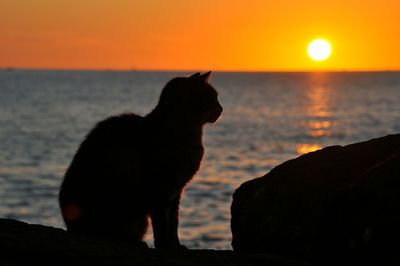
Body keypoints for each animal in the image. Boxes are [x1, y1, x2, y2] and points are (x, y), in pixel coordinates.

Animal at [58, 71, 222, 248]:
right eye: (210, 98)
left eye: (216, 97)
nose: (221, 109)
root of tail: (71, 227)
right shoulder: (160, 190)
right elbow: (162, 225)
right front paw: (165, 245)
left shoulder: (176, 191)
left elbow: (174, 222)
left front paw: (176, 245)